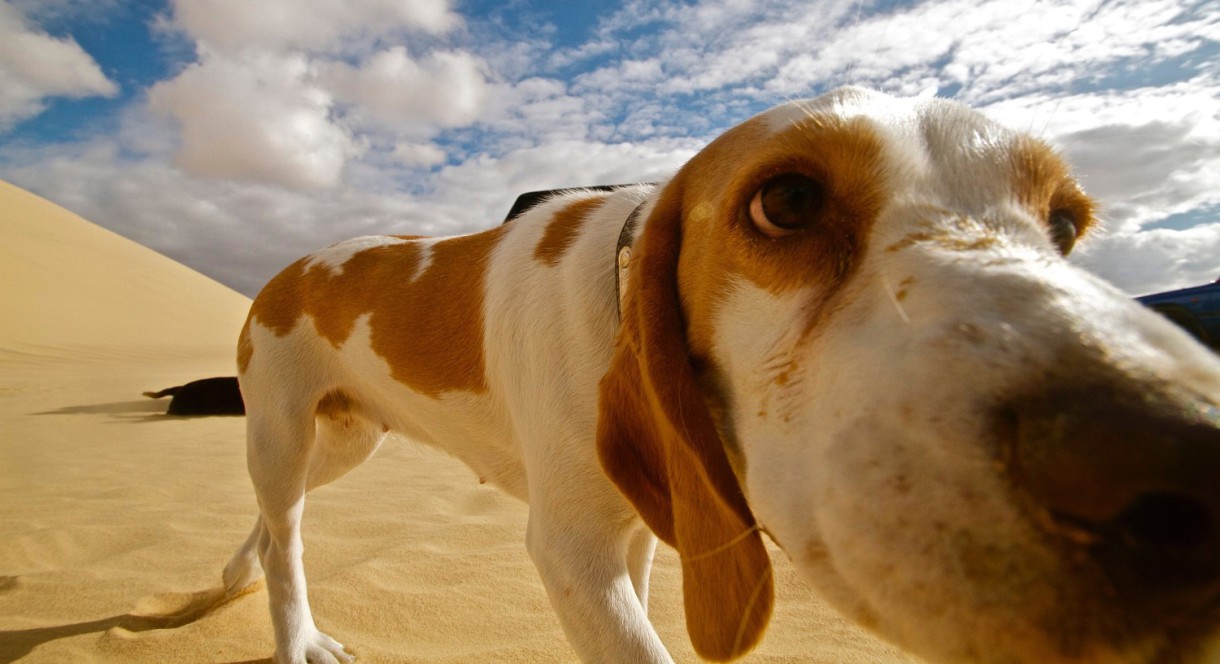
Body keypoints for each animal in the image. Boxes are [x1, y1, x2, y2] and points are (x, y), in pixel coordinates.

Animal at [222, 87, 1220, 664]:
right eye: (787, 202)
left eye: (1065, 225)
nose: (1181, 458)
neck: (617, 283)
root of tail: (288, 268)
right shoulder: (574, 551)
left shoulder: (634, 529)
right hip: (280, 430)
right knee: (289, 539)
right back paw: (296, 639)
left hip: (342, 441)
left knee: (273, 528)